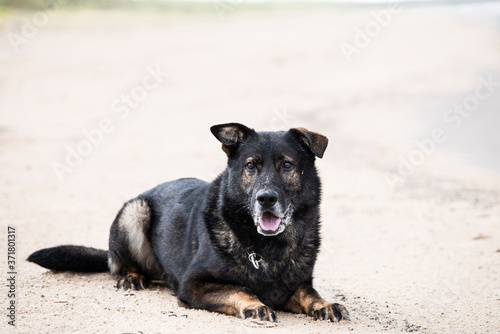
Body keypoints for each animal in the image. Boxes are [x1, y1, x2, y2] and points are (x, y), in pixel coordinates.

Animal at [27, 123, 348, 324]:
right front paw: (255, 305)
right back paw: (131, 276)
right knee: (119, 265)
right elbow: (240, 290)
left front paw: (325, 304)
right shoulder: (193, 285)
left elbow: (310, 293)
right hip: (135, 212)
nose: (266, 198)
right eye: (251, 166)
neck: (267, 247)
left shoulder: (297, 285)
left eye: (287, 165)